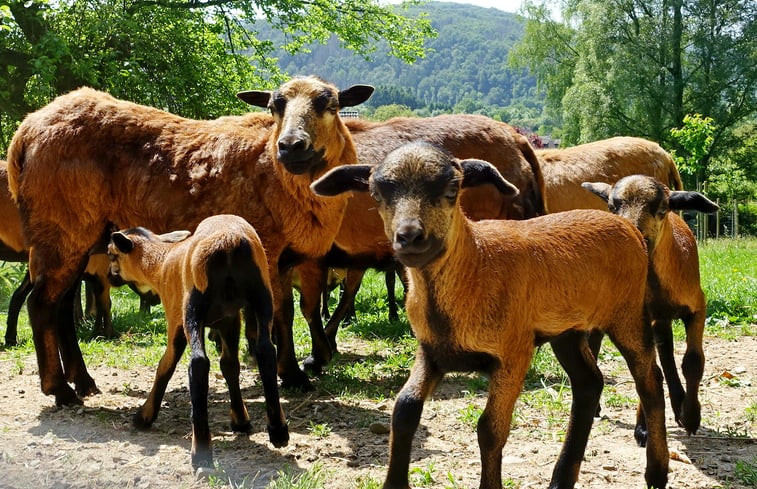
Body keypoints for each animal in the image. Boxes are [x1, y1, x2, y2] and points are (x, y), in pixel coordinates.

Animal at [5, 75, 372, 404]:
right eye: (274, 106)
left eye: (330, 104)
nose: (291, 145)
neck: (278, 174)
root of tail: (25, 131)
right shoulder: (268, 248)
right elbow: (278, 313)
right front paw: (292, 374)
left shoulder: (282, 259)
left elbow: (284, 314)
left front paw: (287, 370)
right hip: (61, 226)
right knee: (41, 304)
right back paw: (60, 389)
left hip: (75, 236)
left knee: (62, 306)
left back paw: (83, 382)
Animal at [108, 215, 290, 468]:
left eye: (111, 254)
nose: (109, 277)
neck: (160, 263)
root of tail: (228, 242)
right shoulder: (229, 318)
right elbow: (229, 365)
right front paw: (241, 421)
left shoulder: (175, 316)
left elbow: (165, 365)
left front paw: (144, 417)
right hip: (262, 294)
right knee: (265, 351)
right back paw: (278, 431)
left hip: (193, 304)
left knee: (199, 362)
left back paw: (201, 453)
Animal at [312, 141, 668, 488]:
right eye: (376, 194)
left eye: (453, 189)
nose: (410, 237)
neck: (476, 263)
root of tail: (629, 227)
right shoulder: (431, 352)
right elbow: (404, 412)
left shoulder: (513, 354)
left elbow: (490, 430)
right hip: (567, 330)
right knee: (589, 384)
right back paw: (561, 479)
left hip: (626, 314)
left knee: (650, 381)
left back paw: (656, 472)